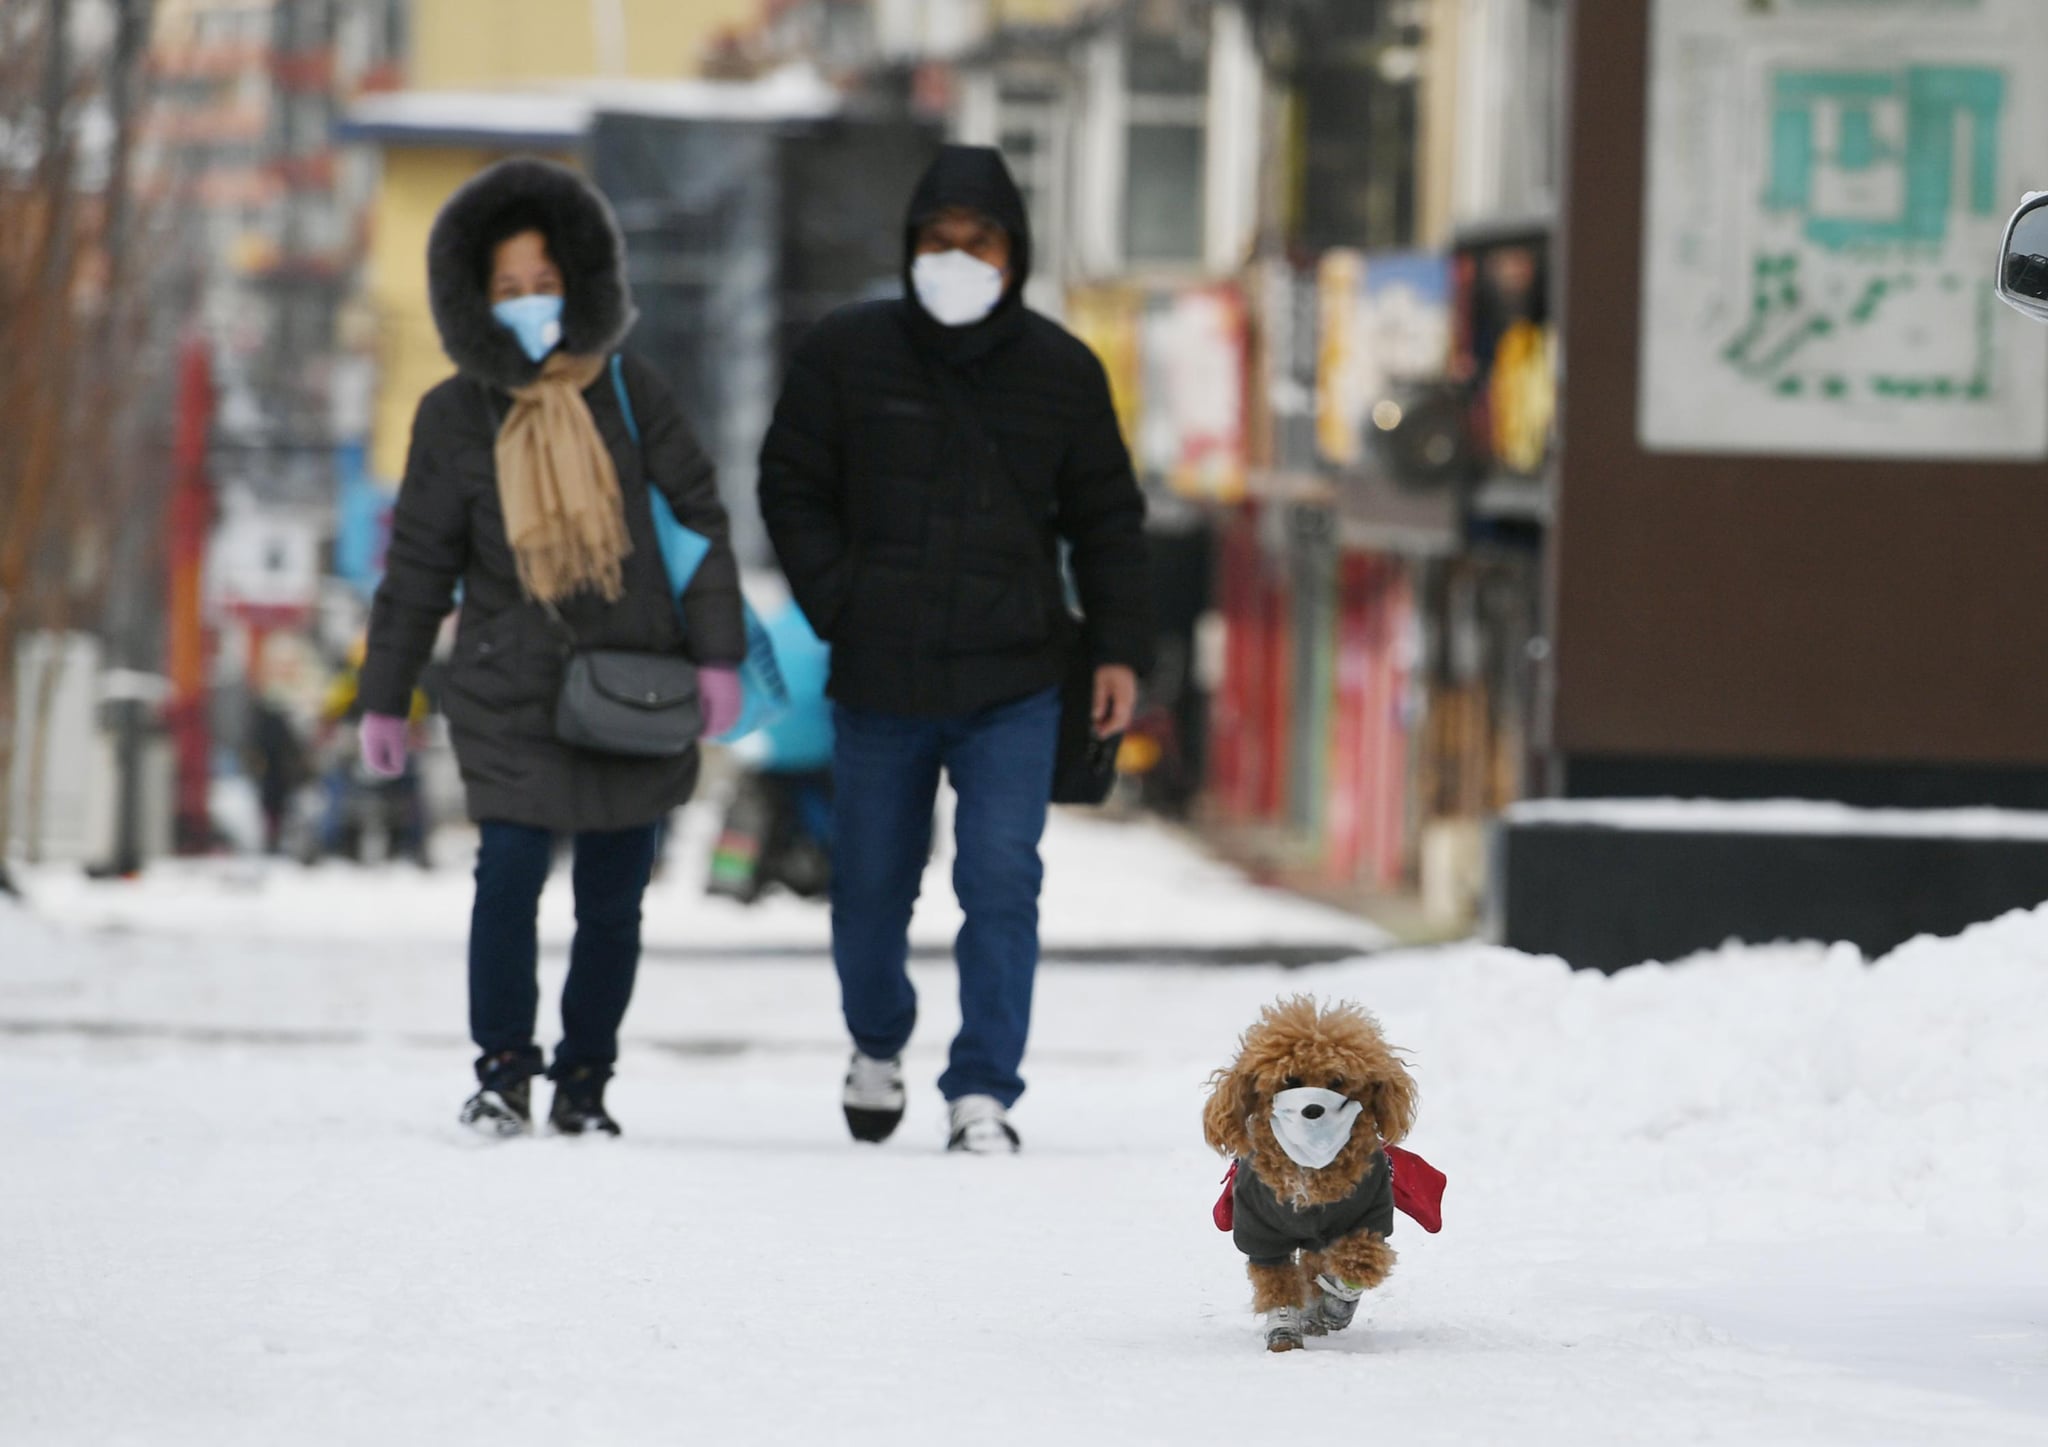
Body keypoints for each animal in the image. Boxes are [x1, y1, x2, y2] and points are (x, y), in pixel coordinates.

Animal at [1204, 994, 1417, 1350]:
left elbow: (1358, 1264)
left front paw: (1337, 1302)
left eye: (1338, 1081)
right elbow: (1277, 1282)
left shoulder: (1369, 1216)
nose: (1313, 1109)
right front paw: (1284, 1333)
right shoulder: (1260, 1229)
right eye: (1290, 1080)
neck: (1310, 1165)